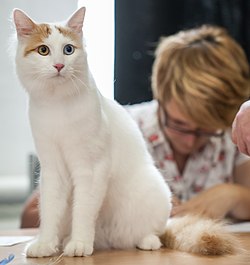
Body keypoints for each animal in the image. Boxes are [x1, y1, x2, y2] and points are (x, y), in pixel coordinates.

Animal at [12, 7, 239, 256]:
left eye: (68, 50)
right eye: (43, 50)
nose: (59, 66)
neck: (57, 105)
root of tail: (110, 239)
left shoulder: (91, 169)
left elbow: (83, 211)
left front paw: (80, 243)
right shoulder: (53, 170)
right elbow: (50, 211)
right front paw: (45, 244)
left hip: (156, 191)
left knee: (154, 233)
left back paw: (144, 241)